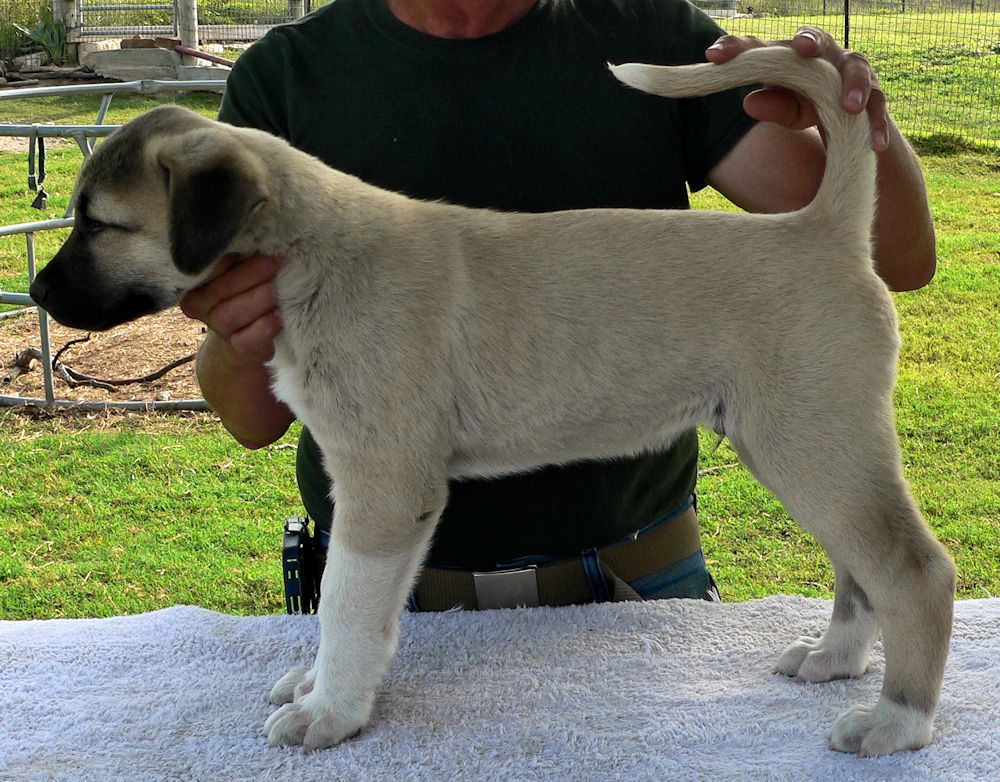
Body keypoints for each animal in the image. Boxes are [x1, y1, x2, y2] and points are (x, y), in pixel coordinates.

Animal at [29, 49, 952, 760]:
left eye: (100, 225)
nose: (34, 290)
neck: (310, 251)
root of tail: (822, 228)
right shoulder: (384, 490)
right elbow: (352, 611)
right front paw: (321, 685)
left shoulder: (385, 487)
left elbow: (347, 606)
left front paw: (328, 714)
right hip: (807, 447)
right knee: (862, 571)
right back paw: (834, 660)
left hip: (814, 444)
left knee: (912, 570)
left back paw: (895, 723)